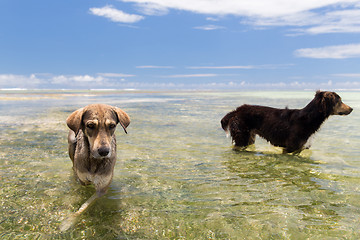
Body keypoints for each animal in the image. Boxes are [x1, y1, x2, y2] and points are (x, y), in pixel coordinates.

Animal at [221, 91, 352, 153]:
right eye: (339, 101)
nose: (352, 109)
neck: (308, 118)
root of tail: (236, 111)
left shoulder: (299, 149)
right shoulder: (290, 148)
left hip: (250, 137)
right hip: (242, 137)